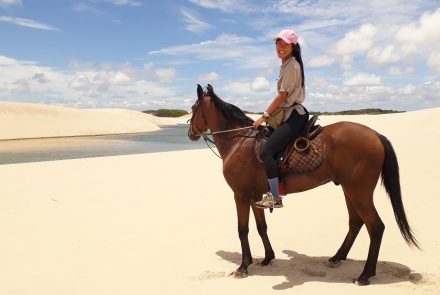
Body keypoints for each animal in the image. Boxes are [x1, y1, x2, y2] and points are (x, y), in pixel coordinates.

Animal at [186, 84, 420, 286]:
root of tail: (376, 135)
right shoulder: (255, 196)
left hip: (359, 193)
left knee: (375, 227)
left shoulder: (240, 195)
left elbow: (242, 229)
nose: (190, 133)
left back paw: (365, 275)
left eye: (193, 108)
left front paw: (243, 266)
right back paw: (337, 257)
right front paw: (267, 258)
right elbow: (261, 227)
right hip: (349, 191)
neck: (239, 141)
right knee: (356, 223)